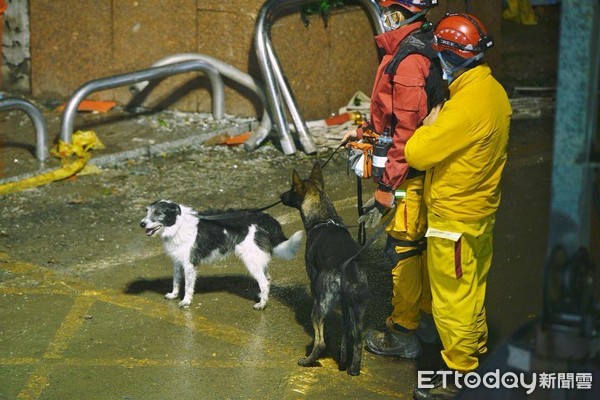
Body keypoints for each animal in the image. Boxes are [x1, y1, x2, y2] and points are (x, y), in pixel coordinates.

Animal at [139, 200, 302, 310]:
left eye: (158, 213)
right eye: (147, 211)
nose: (141, 224)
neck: (178, 225)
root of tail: (265, 218)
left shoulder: (189, 264)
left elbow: (188, 286)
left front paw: (186, 301)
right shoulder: (178, 262)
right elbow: (176, 281)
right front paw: (173, 295)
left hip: (251, 260)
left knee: (264, 281)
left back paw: (262, 304)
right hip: (256, 258)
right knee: (267, 278)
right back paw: (262, 297)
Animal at [278, 161, 368, 374]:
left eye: (292, 188)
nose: (280, 196)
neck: (324, 217)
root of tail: (347, 267)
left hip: (319, 308)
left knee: (321, 343)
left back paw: (308, 360)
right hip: (358, 310)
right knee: (357, 340)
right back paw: (352, 368)